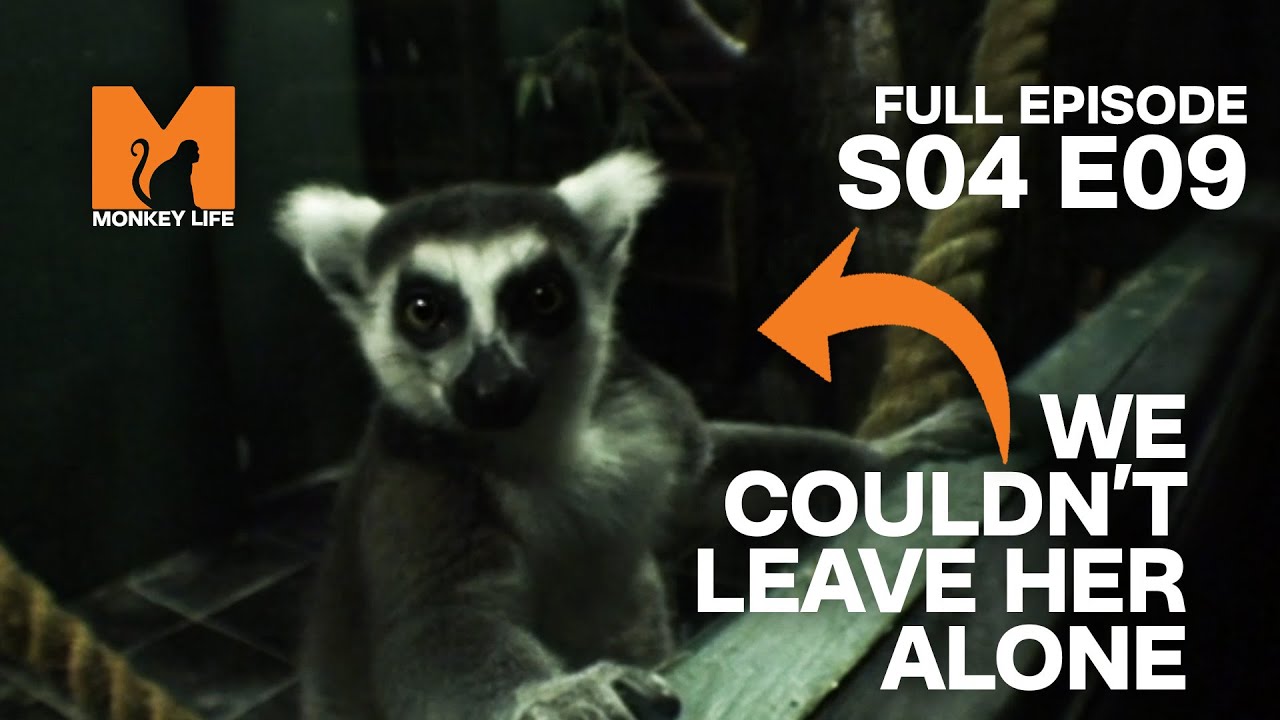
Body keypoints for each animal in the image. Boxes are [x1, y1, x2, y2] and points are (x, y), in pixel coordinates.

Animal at [274, 150, 993, 720]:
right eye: (424, 311)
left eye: (543, 297)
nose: (490, 388)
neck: (550, 442)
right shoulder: (423, 474)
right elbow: (437, 622)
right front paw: (548, 697)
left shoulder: (645, 413)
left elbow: (714, 478)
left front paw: (899, 448)